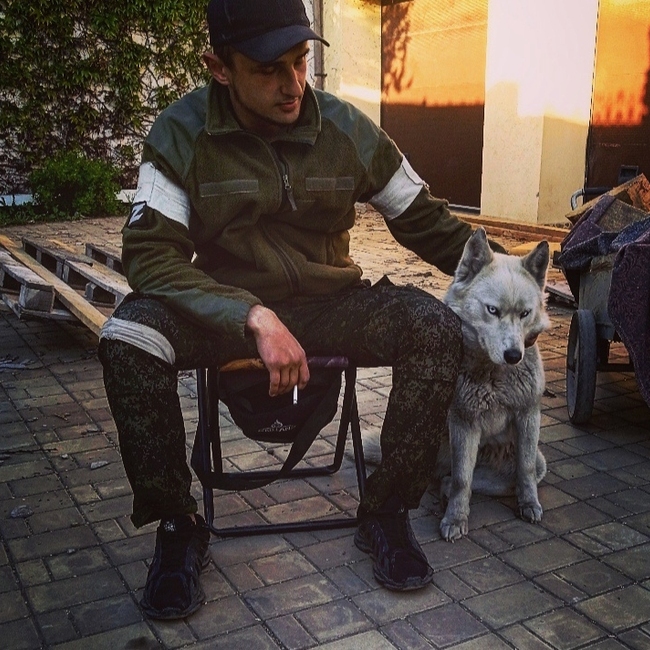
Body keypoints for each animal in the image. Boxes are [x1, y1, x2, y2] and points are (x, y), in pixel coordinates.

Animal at [437, 227, 550, 541]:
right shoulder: (463, 423)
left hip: (536, 460)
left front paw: (528, 503)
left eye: (525, 313)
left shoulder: (528, 416)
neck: (494, 376)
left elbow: (524, 471)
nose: (513, 355)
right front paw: (455, 518)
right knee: (452, 476)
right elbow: (462, 479)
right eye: (492, 310)